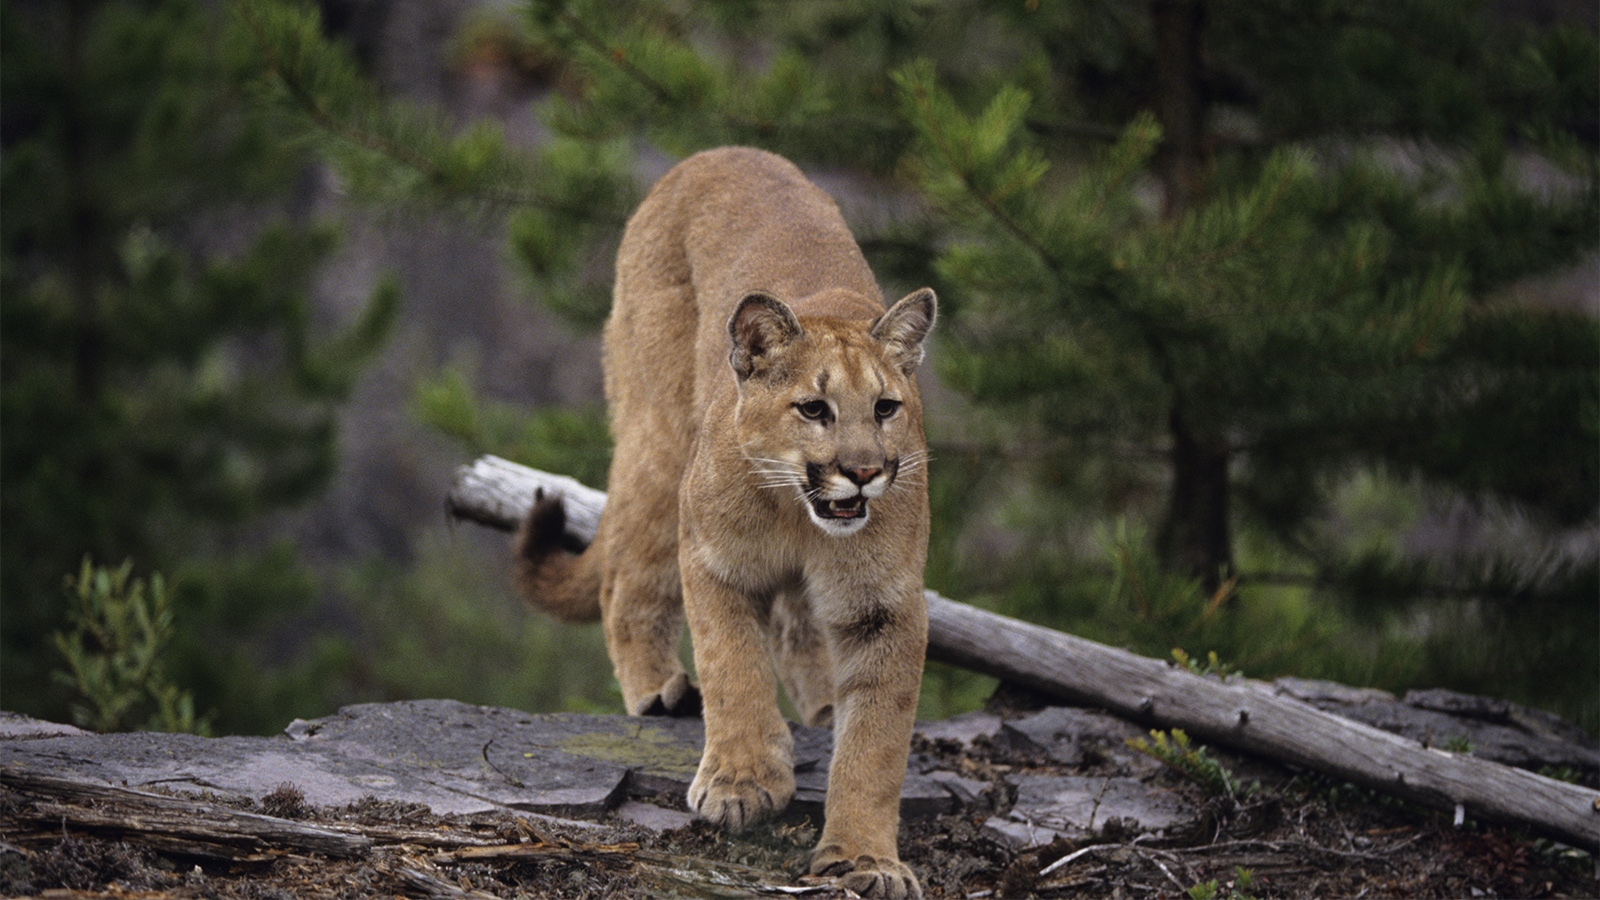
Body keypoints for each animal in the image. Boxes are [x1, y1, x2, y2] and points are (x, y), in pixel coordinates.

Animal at [518, 145, 934, 890]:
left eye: (886, 407)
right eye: (814, 408)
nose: (864, 471)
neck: (801, 519)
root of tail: (717, 153)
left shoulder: (884, 607)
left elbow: (876, 745)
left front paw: (864, 858)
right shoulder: (714, 559)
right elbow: (731, 664)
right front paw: (742, 782)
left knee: (796, 626)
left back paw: (822, 707)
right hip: (659, 442)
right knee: (623, 578)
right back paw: (658, 693)